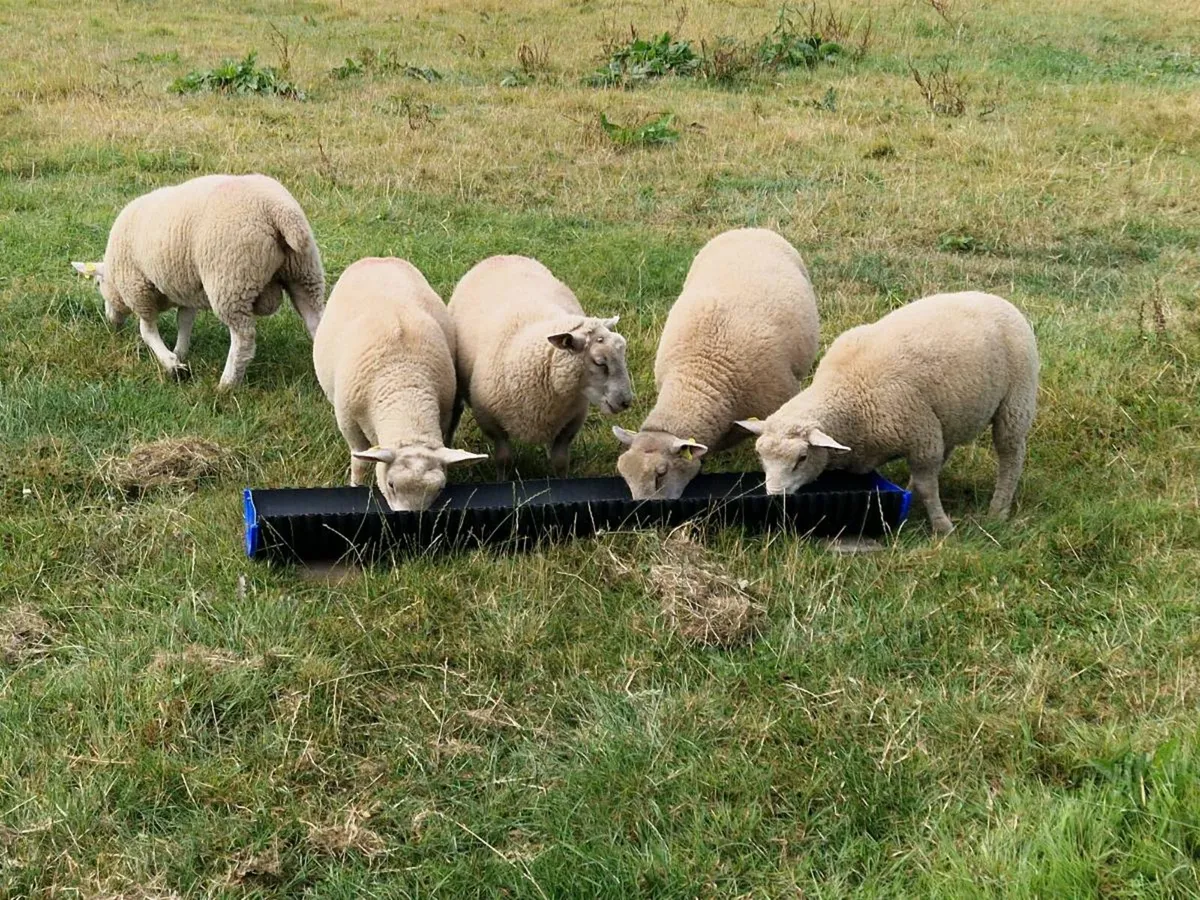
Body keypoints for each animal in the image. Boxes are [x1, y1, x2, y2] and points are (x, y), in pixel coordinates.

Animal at [71, 173, 324, 389]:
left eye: (98, 284)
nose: (110, 323)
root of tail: (278, 212)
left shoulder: (138, 289)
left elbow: (147, 331)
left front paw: (172, 365)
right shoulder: (187, 289)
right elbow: (185, 322)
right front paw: (180, 353)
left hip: (231, 280)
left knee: (243, 339)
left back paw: (227, 384)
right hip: (304, 273)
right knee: (316, 324)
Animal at [313, 257, 487, 512]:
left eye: (439, 489)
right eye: (391, 484)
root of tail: (379, 259)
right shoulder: (349, 424)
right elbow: (359, 462)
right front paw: (355, 486)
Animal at [448, 255, 635, 476]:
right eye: (599, 362)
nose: (626, 402)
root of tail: (502, 256)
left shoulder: (570, 424)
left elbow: (560, 461)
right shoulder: (490, 422)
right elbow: (504, 459)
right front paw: (504, 478)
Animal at [737, 291, 1039, 535]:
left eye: (801, 458)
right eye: (759, 455)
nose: (773, 496)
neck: (848, 393)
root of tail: (997, 299)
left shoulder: (922, 438)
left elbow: (928, 486)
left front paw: (942, 527)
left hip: (1016, 400)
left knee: (1011, 455)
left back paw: (998, 510)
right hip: (949, 414)